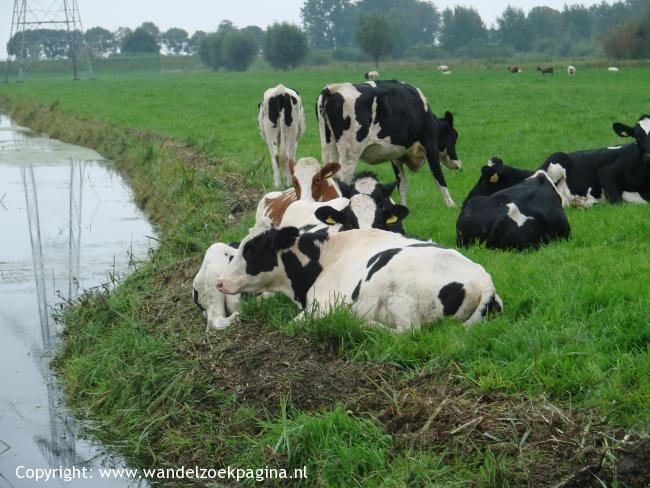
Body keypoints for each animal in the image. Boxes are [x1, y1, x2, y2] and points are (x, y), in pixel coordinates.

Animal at [218, 227, 502, 330]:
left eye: (250, 251)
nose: (219, 282)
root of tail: (484, 282)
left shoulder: (321, 307)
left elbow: (290, 326)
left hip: (398, 295)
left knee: (406, 331)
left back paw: (365, 325)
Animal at [316, 79, 458, 208]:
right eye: (454, 137)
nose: (457, 163)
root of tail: (332, 89)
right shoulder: (430, 145)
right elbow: (438, 176)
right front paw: (451, 204)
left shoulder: (396, 155)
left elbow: (402, 183)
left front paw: (403, 206)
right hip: (350, 152)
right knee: (342, 178)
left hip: (329, 147)